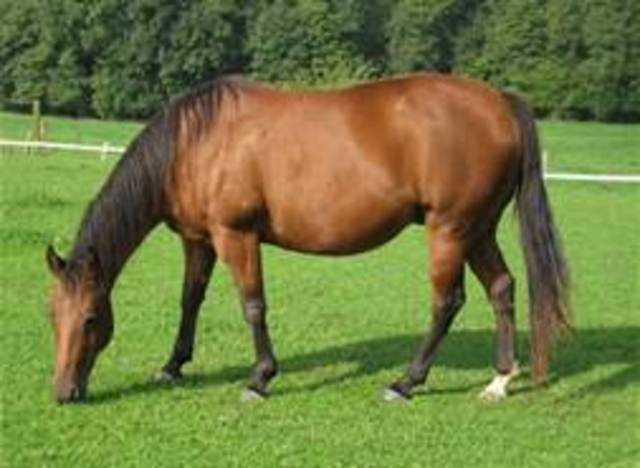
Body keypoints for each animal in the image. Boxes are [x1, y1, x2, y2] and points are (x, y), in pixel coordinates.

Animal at [45, 73, 570, 404]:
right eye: (53, 316)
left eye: (91, 318)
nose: (64, 392)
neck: (195, 143)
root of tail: (498, 102)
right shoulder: (199, 239)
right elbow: (190, 299)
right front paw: (173, 366)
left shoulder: (236, 236)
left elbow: (252, 306)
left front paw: (259, 379)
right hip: (476, 229)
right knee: (501, 288)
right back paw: (500, 380)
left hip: (450, 229)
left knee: (448, 301)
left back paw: (405, 382)